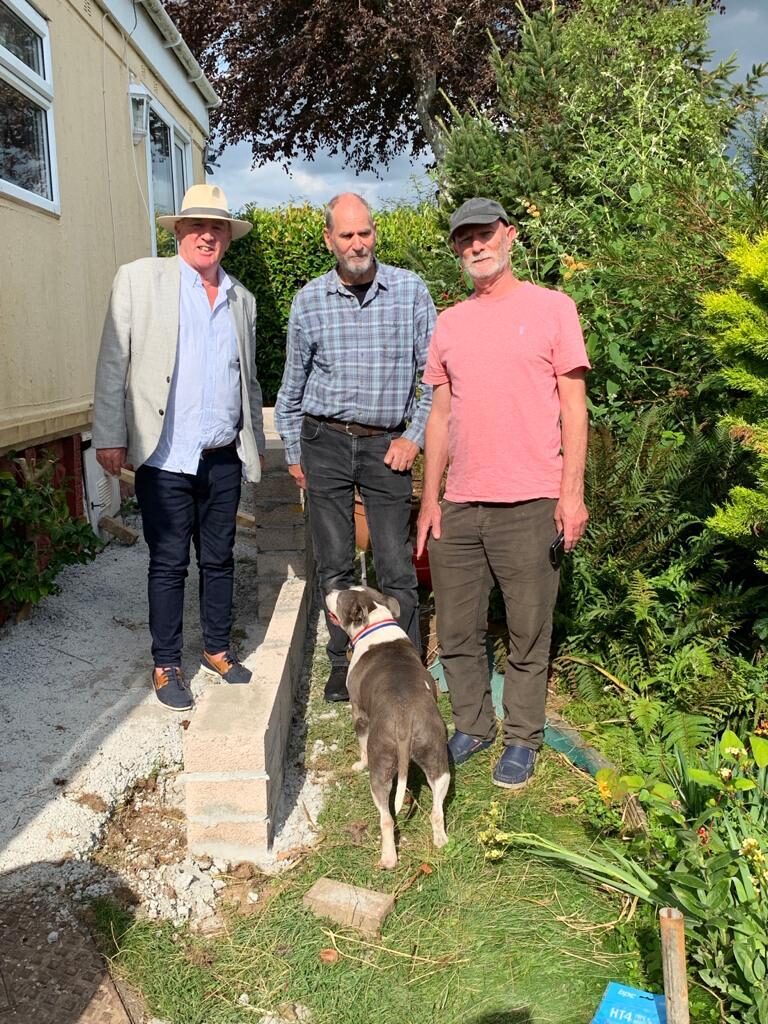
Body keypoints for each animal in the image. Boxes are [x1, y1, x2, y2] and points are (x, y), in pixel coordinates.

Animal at [325, 589, 450, 868]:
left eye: (340, 597)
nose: (328, 591)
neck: (375, 623)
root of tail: (404, 720)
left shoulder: (359, 712)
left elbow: (361, 744)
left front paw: (359, 764)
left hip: (380, 767)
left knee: (386, 818)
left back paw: (389, 857)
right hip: (436, 755)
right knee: (437, 809)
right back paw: (441, 841)